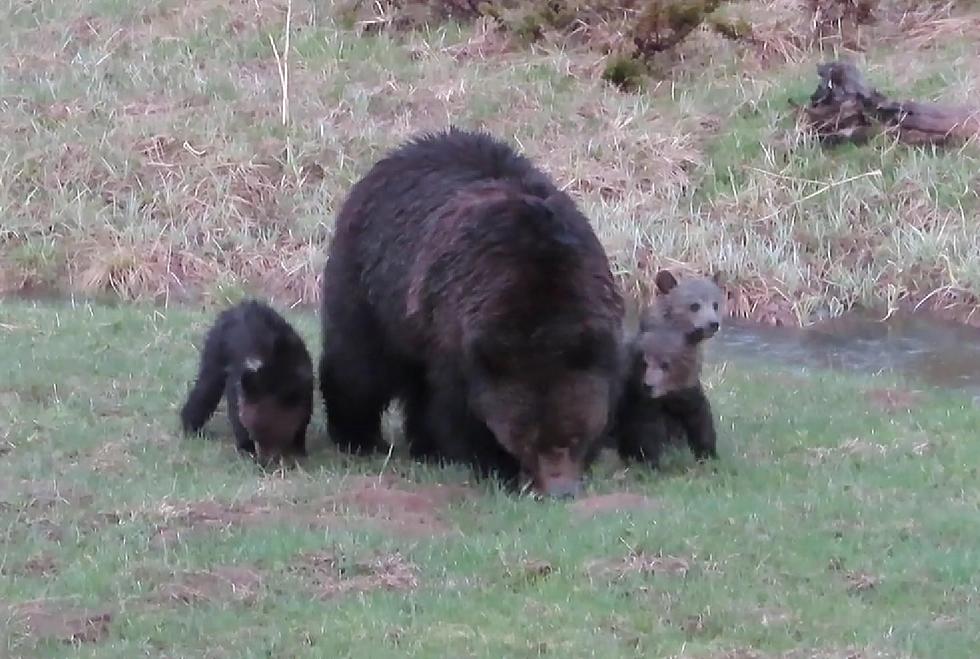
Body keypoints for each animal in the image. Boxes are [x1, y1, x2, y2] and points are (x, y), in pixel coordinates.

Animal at [178, 302, 310, 466]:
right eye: (254, 433)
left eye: (277, 436)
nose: (263, 463)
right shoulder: (240, 380)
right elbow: (236, 412)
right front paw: (246, 449)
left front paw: (298, 448)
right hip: (216, 350)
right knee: (206, 388)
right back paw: (192, 427)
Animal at [322, 127, 628, 500]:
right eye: (528, 441)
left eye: (574, 436)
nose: (560, 491)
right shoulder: (458, 337)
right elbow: (463, 409)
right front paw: (494, 463)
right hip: (372, 283)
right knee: (359, 364)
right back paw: (358, 437)